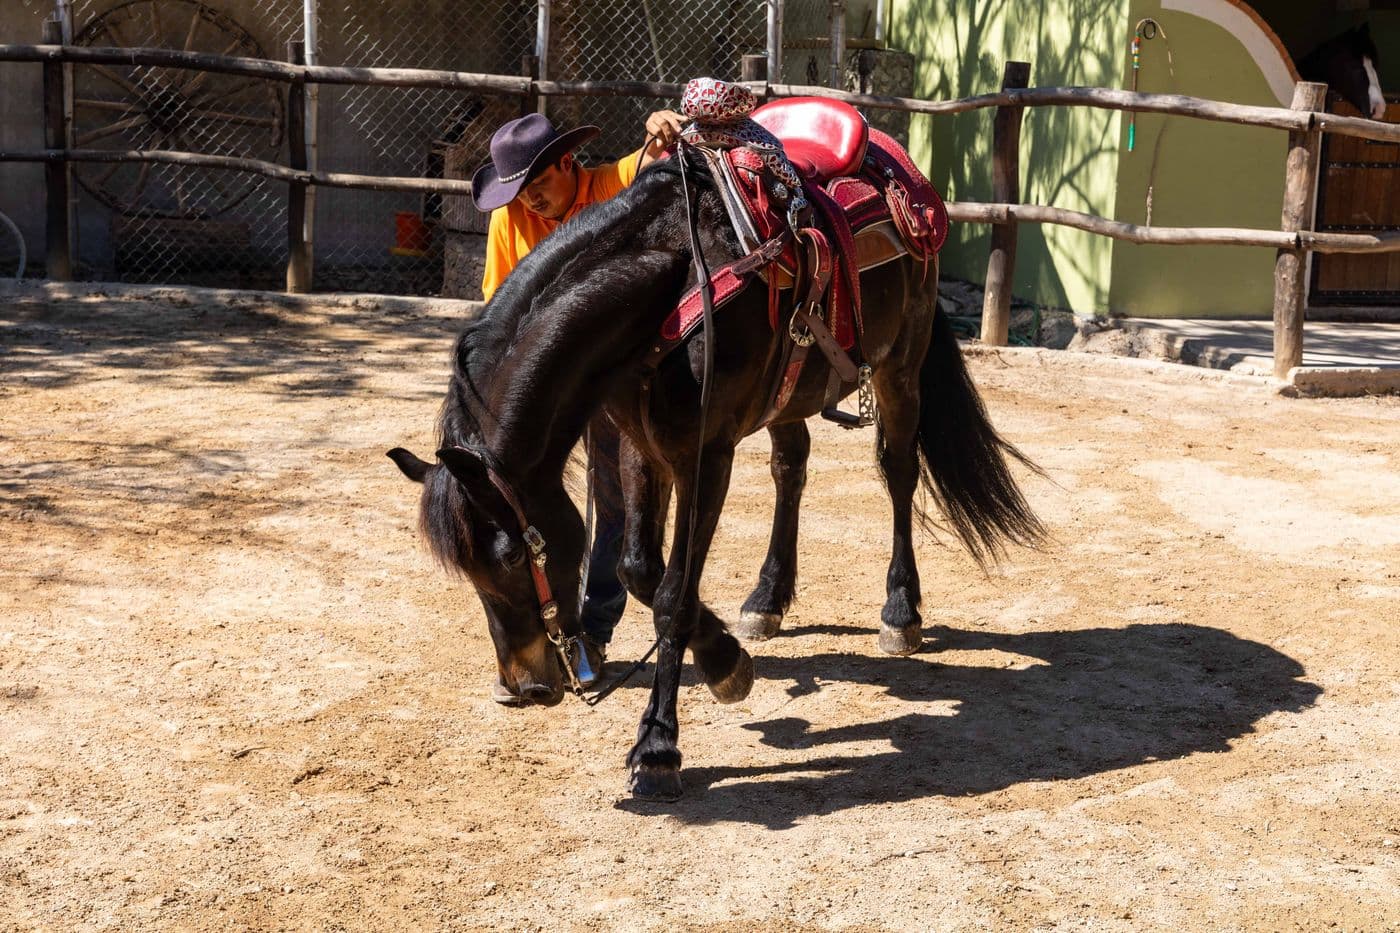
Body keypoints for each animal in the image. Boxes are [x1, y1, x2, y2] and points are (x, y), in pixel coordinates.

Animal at [387, 143, 1045, 801]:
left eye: (514, 558)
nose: (525, 687)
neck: (669, 290)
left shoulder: (706, 458)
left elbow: (673, 595)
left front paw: (659, 745)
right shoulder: (641, 449)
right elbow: (638, 570)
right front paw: (727, 657)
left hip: (899, 368)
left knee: (899, 470)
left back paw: (900, 612)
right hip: (791, 397)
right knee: (790, 468)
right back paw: (766, 601)